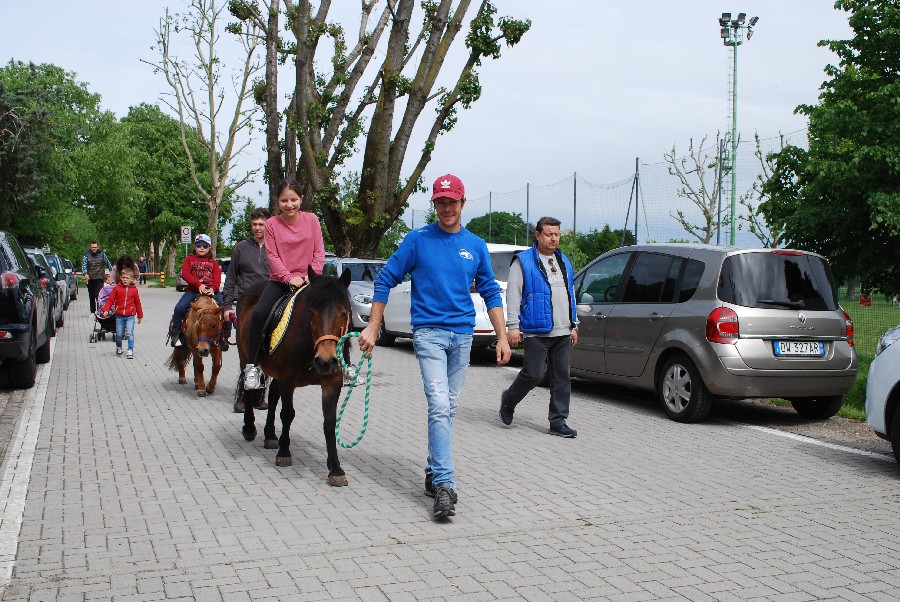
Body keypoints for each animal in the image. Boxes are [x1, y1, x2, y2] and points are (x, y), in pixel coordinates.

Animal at [236, 270, 352, 486]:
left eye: (344, 313)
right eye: (312, 313)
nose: (325, 361)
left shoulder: (332, 383)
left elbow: (329, 422)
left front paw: (335, 468)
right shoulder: (287, 381)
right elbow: (288, 414)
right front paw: (284, 452)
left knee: (272, 397)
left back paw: (270, 435)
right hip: (244, 356)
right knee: (248, 390)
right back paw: (249, 428)